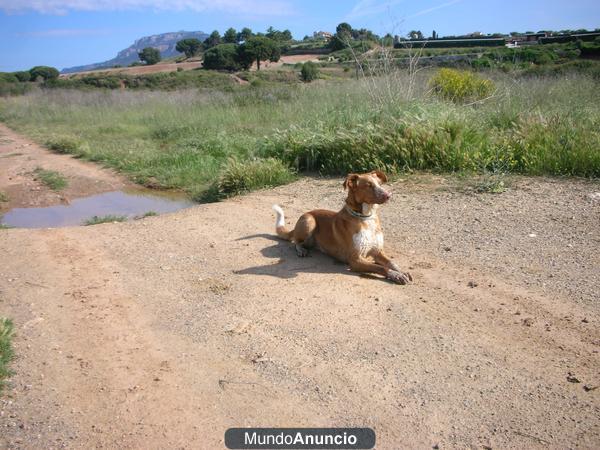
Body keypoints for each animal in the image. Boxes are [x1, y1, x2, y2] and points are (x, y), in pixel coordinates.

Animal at [272, 171, 412, 284]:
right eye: (368, 185)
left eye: (380, 184)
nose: (388, 195)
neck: (365, 218)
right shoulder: (355, 260)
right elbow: (381, 267)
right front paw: (395, 275)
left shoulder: (377, 251)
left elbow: (391, 263)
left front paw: (401, 271)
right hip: (309, 221)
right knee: (296, 241)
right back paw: (301, 250)